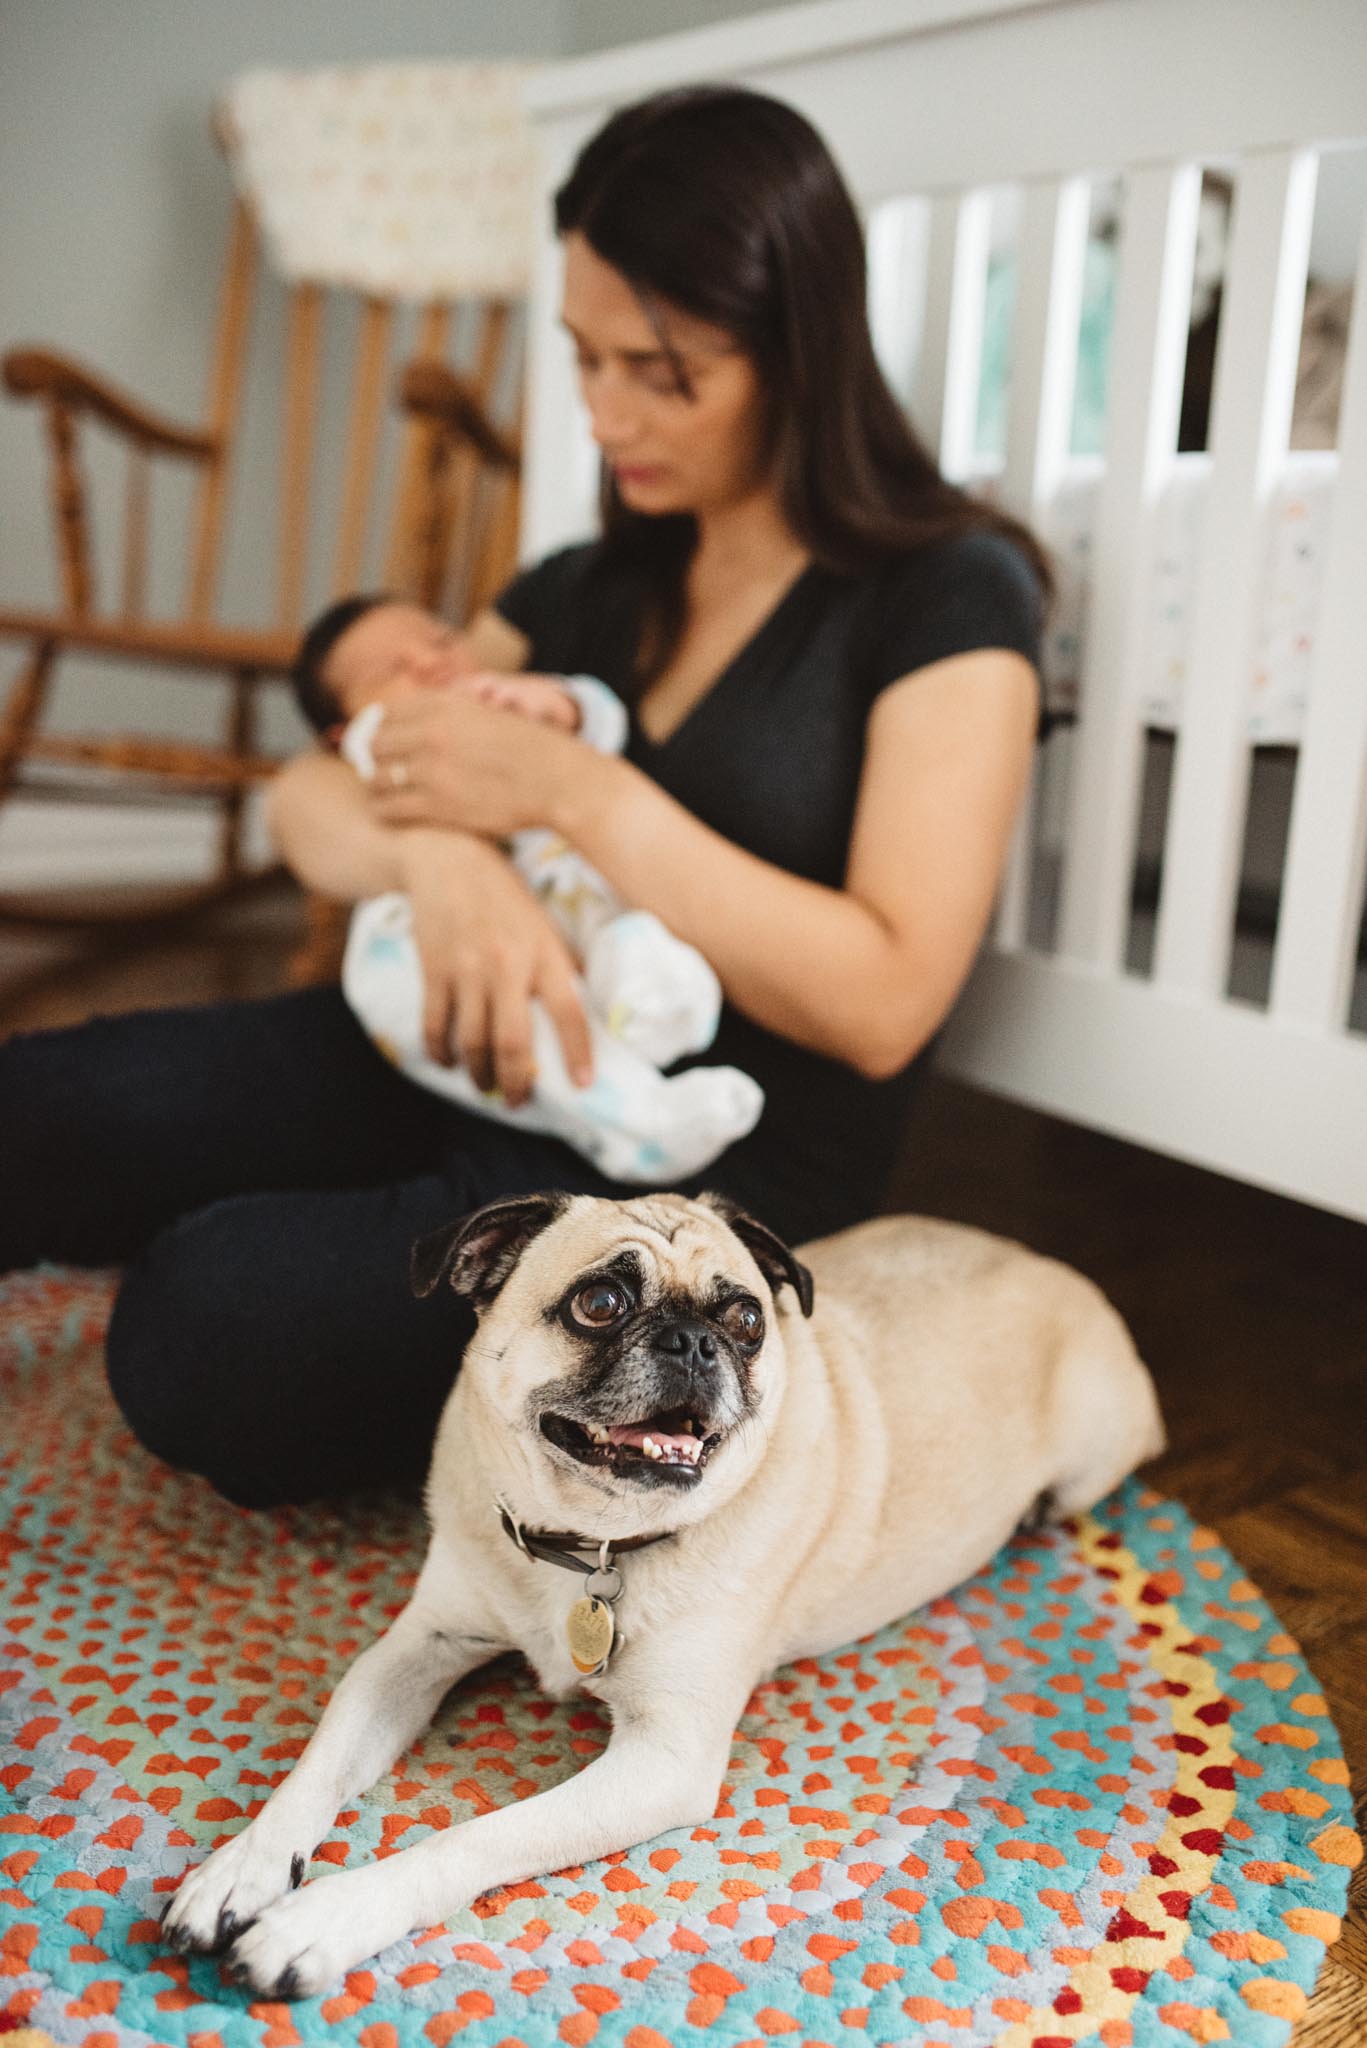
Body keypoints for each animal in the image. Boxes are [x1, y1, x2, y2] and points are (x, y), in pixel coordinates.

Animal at [160, 1196, 1164, 1990]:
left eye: (748, 1319)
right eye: (599, 1303)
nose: (695, 1340)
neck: (588, 1548)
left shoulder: (662, 1757)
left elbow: (474, 1837)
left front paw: (322, 1921)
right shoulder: (417, 1649)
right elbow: (317, 1765)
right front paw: (241, 1871)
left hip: (1090, 1455)